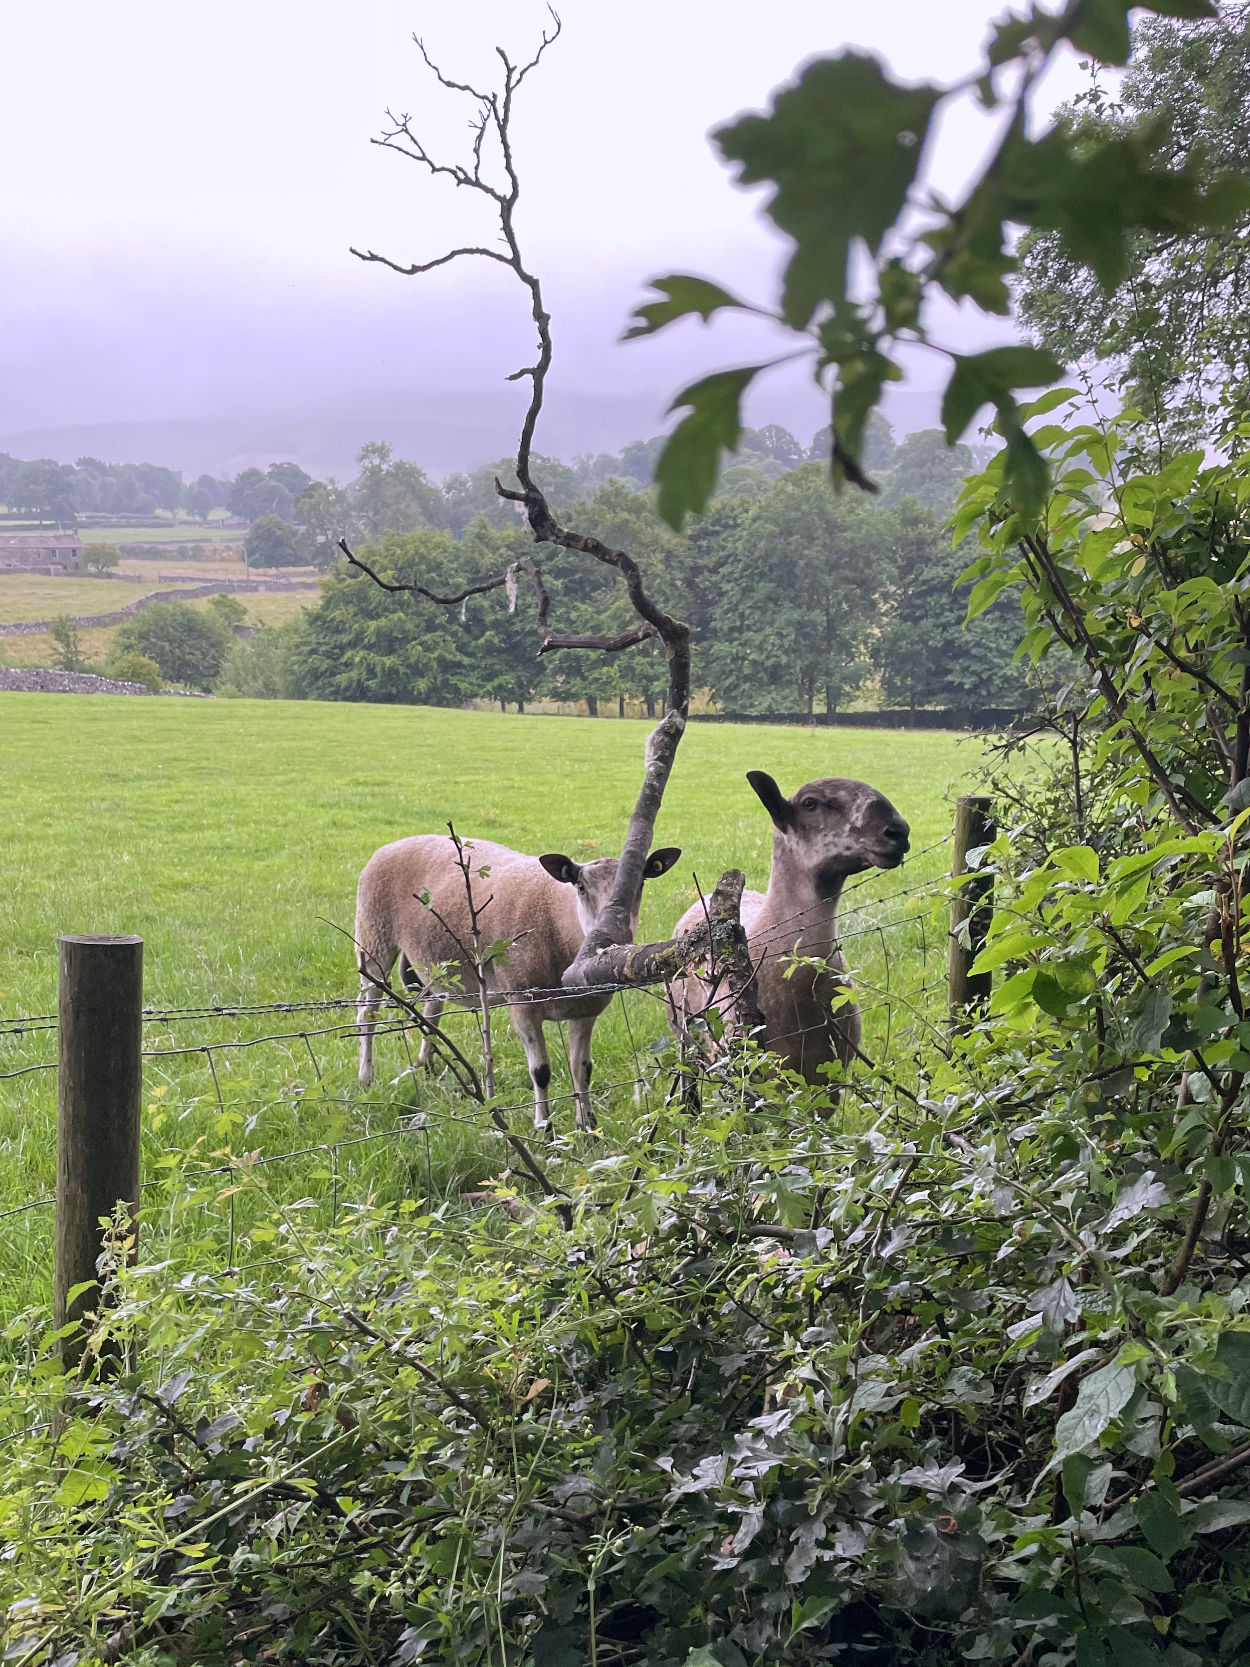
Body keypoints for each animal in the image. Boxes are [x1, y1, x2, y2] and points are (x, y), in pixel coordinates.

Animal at [353, 840, 686, 1126]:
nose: (618, 934)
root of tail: (391, 845)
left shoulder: (585, 1011)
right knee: (367, 1011)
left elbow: (582, 1070)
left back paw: (426, 1065)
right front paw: (544, 1130)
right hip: (373, 936)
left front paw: (588, 1128)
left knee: (433, 1004)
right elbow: (540, 1073)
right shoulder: (522, 1006)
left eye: (640, 884)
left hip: (434, 962)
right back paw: (366, 1077)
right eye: (580, 887)